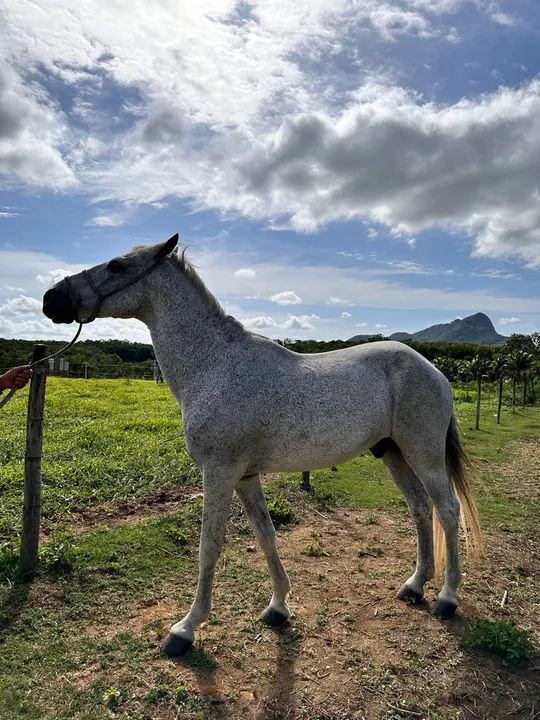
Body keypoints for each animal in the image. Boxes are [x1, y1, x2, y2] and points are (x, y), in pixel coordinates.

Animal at [42, 234, 483, 658]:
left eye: (117, 265)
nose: (51, 299)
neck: (216, 366)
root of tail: (434, 371)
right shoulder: (246, 477)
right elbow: (266, 536)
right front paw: (278, 607)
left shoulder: (219, 473)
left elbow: (209, 546)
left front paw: (186, 628)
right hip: (394, 454)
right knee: (420, 508)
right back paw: (415, 586)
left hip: (423, 453)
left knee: (447, 510)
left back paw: (447, 598)